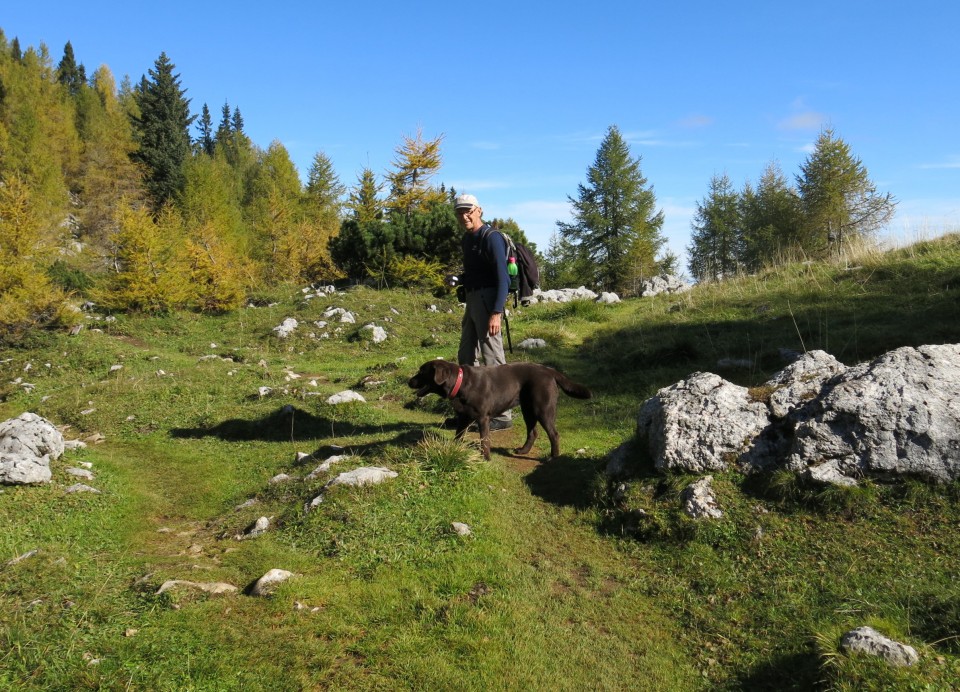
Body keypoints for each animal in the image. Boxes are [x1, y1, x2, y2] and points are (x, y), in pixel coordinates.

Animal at [406, 360, 592, 462]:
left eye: (422, 371)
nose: (409, 381)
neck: (460, 383)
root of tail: (549, 370)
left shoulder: (483, 418)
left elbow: (484, 440)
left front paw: (486, 458)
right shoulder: (464, 418)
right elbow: (458, 436)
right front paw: (454, 451)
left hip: (542, 409)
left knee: (554, 434)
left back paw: (553, 457)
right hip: (527, 408)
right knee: (533, 432)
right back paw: (523, 451)